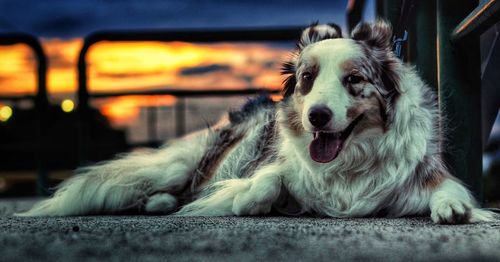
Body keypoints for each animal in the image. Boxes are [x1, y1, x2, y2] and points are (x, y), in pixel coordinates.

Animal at [17, 21, 494, 224]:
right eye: (307, 78)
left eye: (354, 79)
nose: (317, 115)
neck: (349, 163)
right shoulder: (276, 168)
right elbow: (269, 178)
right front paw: (249, 200)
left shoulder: (423, 176)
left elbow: (450, 190)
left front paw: (453, 208)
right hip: (186, 163)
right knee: (173, 184)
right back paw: (162, 201)